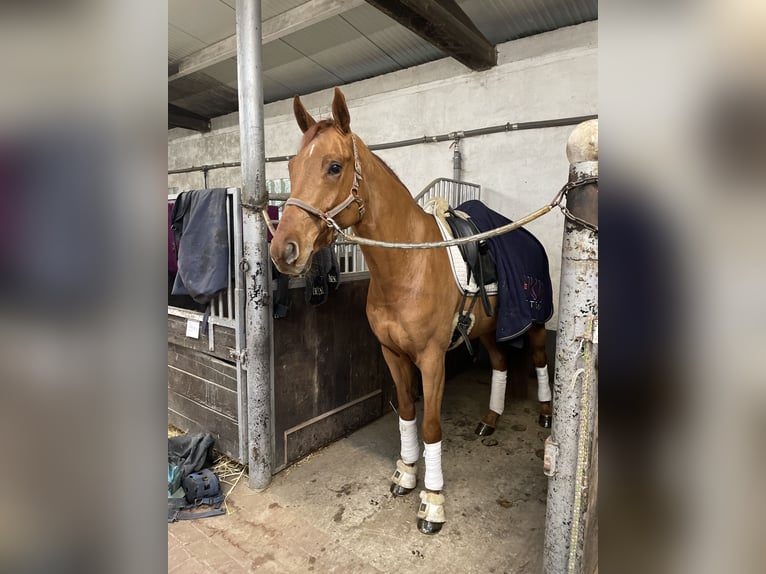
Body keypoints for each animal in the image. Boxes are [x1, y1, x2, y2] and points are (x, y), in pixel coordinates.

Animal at [270, 89, 552, 536]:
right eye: (292, 167)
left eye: (334, 166)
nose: (284, 250)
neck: (407, 268)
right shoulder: (392, 354)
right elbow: (405, 413)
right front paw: (405, 473)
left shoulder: (432, 360)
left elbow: (431, 426)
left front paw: (432, 501)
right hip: (487, 330)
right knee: (500, 363)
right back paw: (490, 419)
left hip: (537, 322)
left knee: (540, 361)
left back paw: (544, 414)